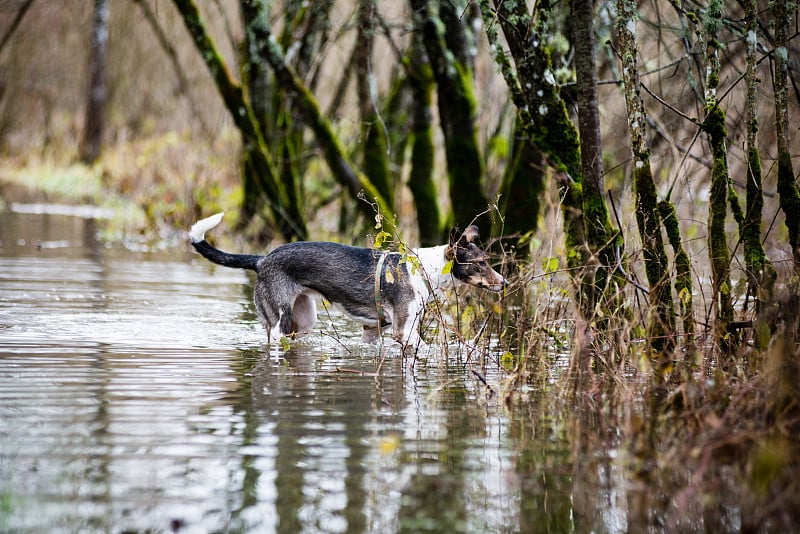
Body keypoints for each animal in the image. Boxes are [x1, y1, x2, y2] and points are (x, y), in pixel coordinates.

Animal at [189, 214, 506, 352]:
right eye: (480, 263)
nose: (503, 283)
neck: (424, 269)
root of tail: (261, 259)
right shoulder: (404, 332)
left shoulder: (372, 331)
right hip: (281, 322)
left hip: (304, 321)